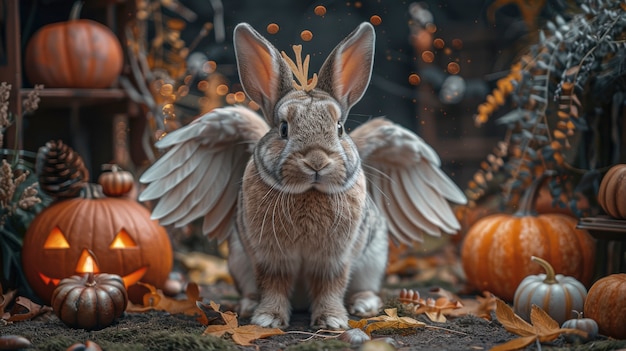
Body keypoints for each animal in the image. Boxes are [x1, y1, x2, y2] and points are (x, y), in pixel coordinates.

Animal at [139, 22, 466, 330]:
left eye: (339, 128)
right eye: (284, 129)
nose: (316, 161)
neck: (309, 192)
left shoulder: (334, 259)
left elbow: (330, 286)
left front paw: (332, 321)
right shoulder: (271, 257)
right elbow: (274, 284)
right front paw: (267, 319)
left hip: (372, 261)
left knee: (363, 288)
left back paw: (363, 305)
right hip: (239, 260)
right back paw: (249, 305)